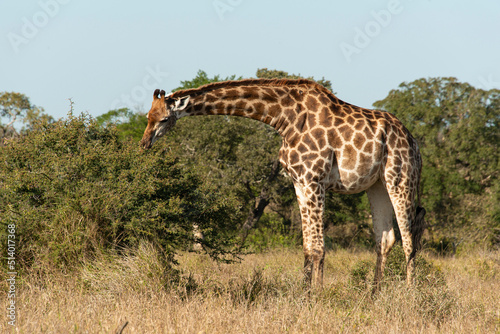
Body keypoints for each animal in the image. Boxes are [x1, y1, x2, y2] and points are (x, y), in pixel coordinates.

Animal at [141, 79, 426, 290]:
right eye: (147, 116)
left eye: (163, 119)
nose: (144, 143)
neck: (284, 118)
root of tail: (413, 141)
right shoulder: (299, 182)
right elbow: (308, 247)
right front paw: (304, 293)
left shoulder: (314, 179)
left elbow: (319, 248)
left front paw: (317, 297)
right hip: (377, 185)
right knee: (385, 239)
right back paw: (373, 295)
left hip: (401, 178)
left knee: (410, 238)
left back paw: (409, 295)